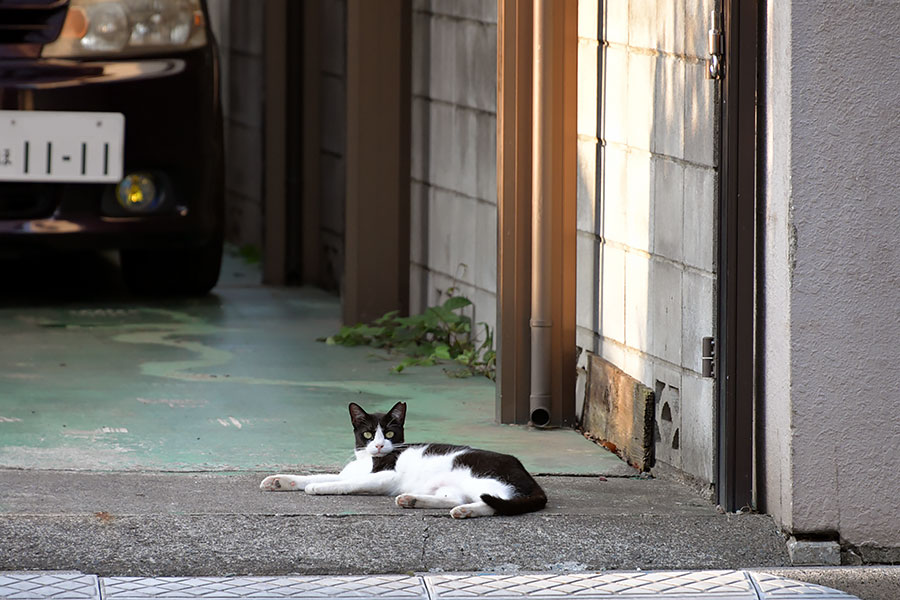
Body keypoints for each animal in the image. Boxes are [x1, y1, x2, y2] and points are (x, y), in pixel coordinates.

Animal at [256, 400, 544, 516]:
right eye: (368, 433)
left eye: (390, 432)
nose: (379, 445)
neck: (368, 461)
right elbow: (321, 475)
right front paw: (279, 481)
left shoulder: (386, 477)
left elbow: (346, 483)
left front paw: (319, 488)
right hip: (451, 488)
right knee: (455, 499)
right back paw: (414, 500)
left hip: (484, 479)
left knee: (499, 503)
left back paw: (468, 511)